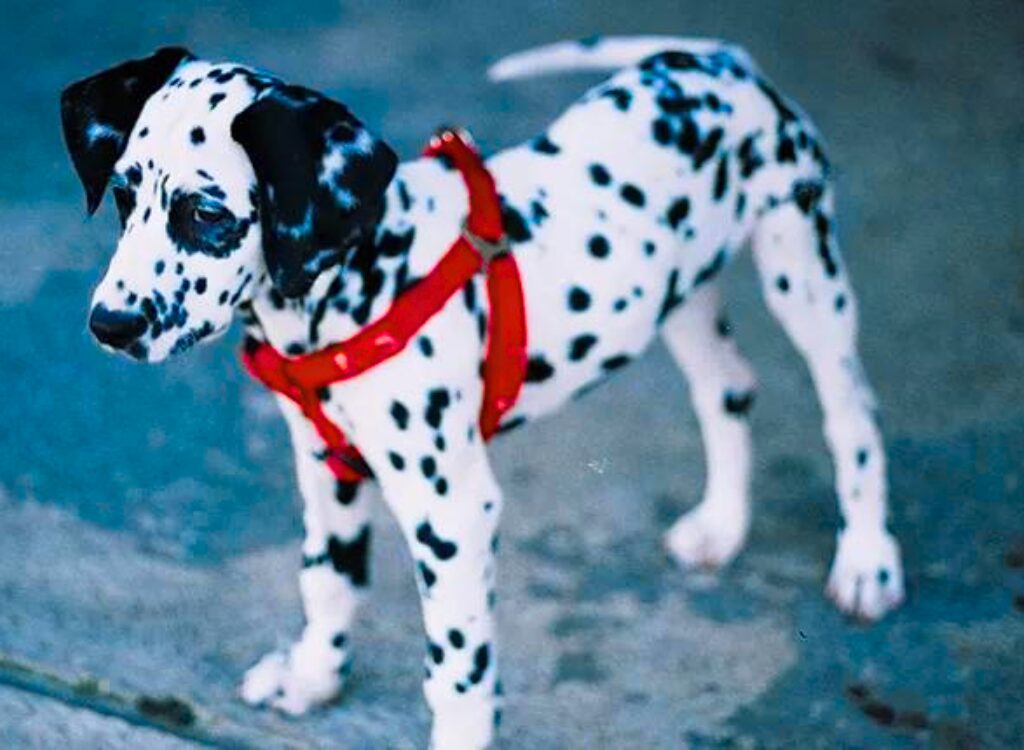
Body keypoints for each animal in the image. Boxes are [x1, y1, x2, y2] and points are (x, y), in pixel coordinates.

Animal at [61, 35, 905, 750]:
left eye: (206, 214)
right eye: (124, 196)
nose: (108, 324)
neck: (365, 279)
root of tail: (721, 60)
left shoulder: (452, 513)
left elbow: (457, 673)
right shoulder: (328, 471)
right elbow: (327, 581)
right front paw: (313, 678)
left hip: (804, 269)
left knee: (851, 414)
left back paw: (867, 561)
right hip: (681, 296)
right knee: (728, 390)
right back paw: (722, 527)